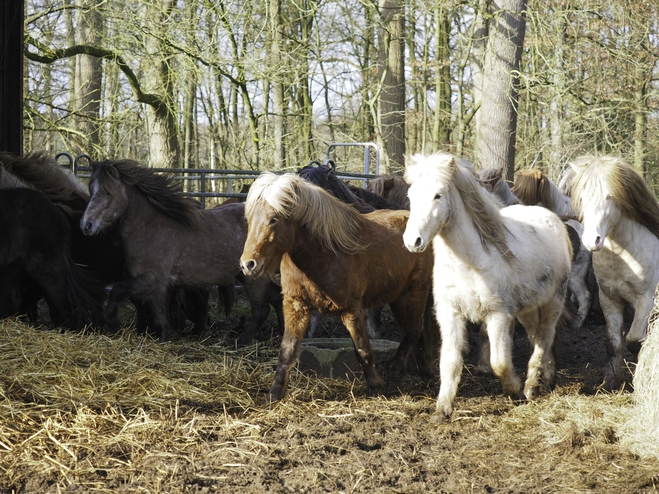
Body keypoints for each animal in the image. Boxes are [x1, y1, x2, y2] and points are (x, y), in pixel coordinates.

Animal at [240, 172, 436, 404]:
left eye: (274, 218)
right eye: (249, 219)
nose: (248, 264)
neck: (322, 253)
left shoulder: (352, 310)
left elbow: (363, 350)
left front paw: (375, 387)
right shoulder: (296, 306)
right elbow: (287, 351)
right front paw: (274, 395)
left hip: (414, 293)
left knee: (413, 332)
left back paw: (395, 374)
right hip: (398, 298)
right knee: (416, 333)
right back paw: (424, 375)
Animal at [402, 152, 572, 422]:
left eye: (438, 195)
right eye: (411, 195)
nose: (412, 241)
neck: (470, 261)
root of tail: (554, 220)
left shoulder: (498, 315)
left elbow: (498, 363)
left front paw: (515, 391)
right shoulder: (449, 314)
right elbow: (449, 361)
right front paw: (442, 410)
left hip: (553, 302)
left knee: (545, 337)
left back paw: (530, 386)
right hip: (526, 310)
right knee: (537, 337)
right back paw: (545, 380)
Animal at [568, 154, 659, 390]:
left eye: (609, 196)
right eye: (582, 198)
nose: (592, 240)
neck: (623, 255)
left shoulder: (645, 300)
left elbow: (634, 340)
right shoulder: (609, 299)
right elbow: (614, 343)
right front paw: (610, 382)